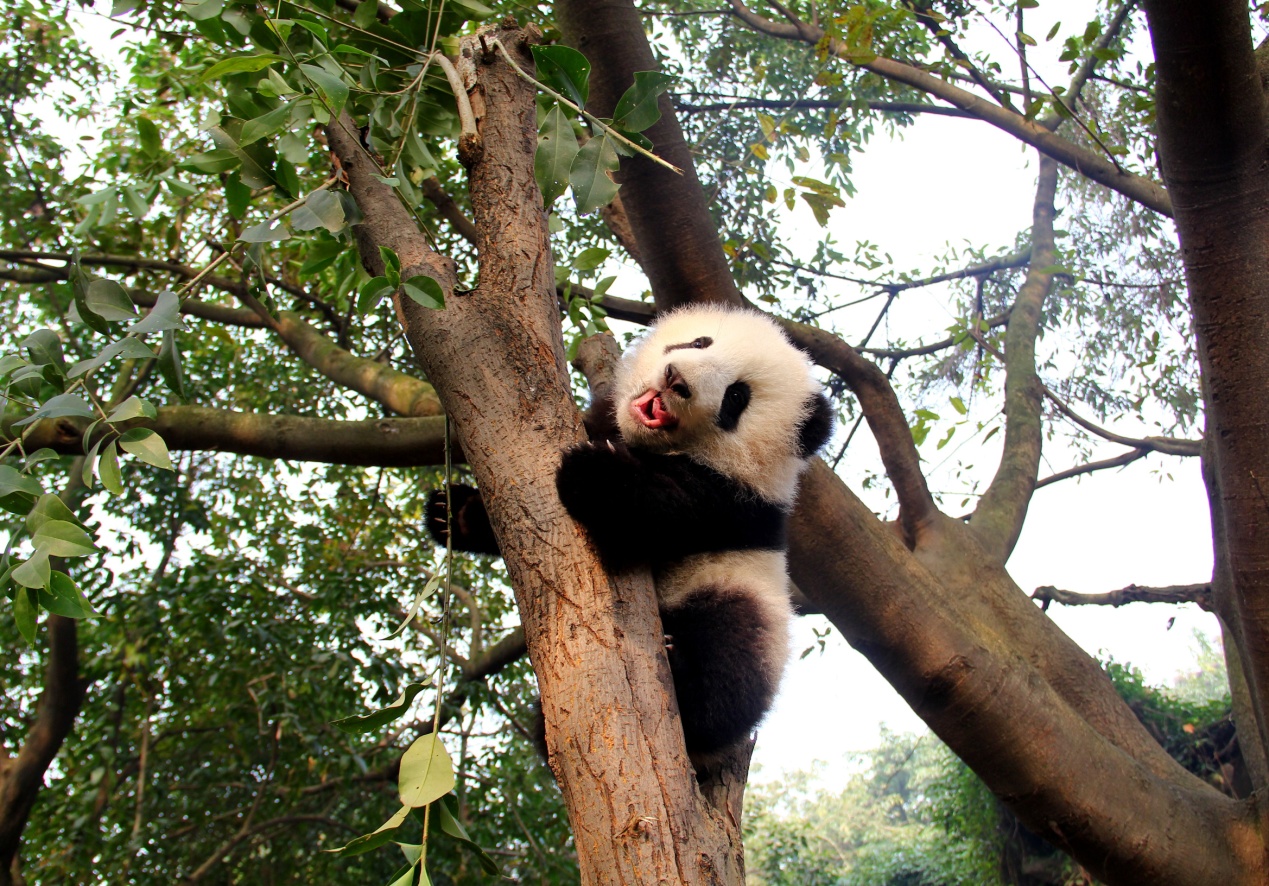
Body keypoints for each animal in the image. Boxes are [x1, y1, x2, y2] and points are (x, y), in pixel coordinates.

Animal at [429, 303, 833, 763]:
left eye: (737, 397)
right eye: (700, 342)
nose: (676, 379)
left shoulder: (732, 501)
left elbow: (660, 509)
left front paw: (593, 473)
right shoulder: (607, 420)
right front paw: (452, 513)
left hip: (745, 598)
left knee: (730, 665)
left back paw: (681, 673)